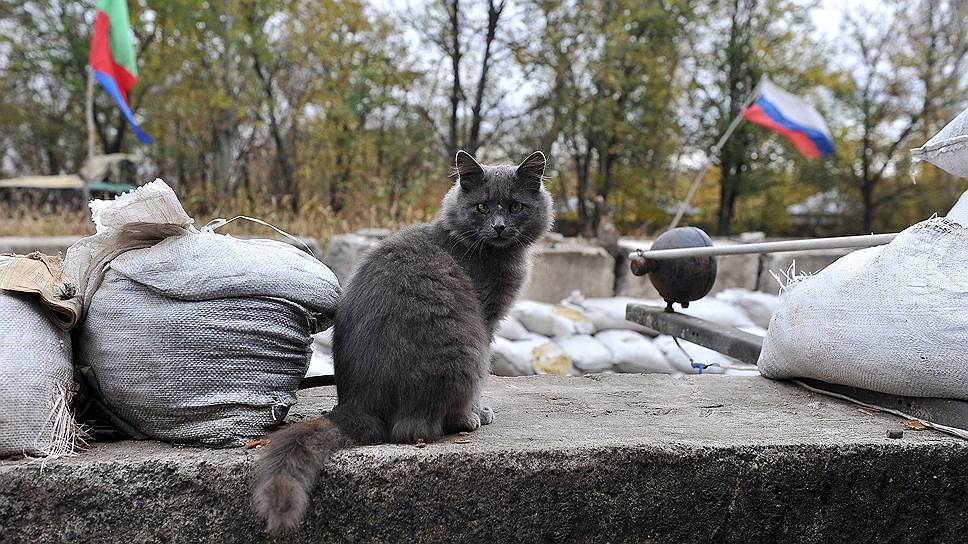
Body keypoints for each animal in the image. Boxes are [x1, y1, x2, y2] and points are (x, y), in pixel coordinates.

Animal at [251, 149, 552, 532]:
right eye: (483, 207)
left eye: (515, 206)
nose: (499, 226)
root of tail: (357, 405)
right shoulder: (485, 320)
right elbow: (482, 382)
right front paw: (478, 412)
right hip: (464, 344)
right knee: (421, 424)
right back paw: (464, 419)